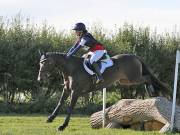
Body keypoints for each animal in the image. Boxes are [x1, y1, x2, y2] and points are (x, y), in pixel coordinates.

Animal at [37, 51, 170, 131]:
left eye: (45, 62)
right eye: (40, 63)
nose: (40, 79)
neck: (71, 69)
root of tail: (135, 56)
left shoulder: (76, 91)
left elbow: (70, 107)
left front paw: (62, 126)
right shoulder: (67, 90)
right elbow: (59, 103)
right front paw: (50, 118)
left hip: (133, 78)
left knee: (148, 78)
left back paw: (152, 92)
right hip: (125, 80)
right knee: (147, 79)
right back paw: (152, 93)